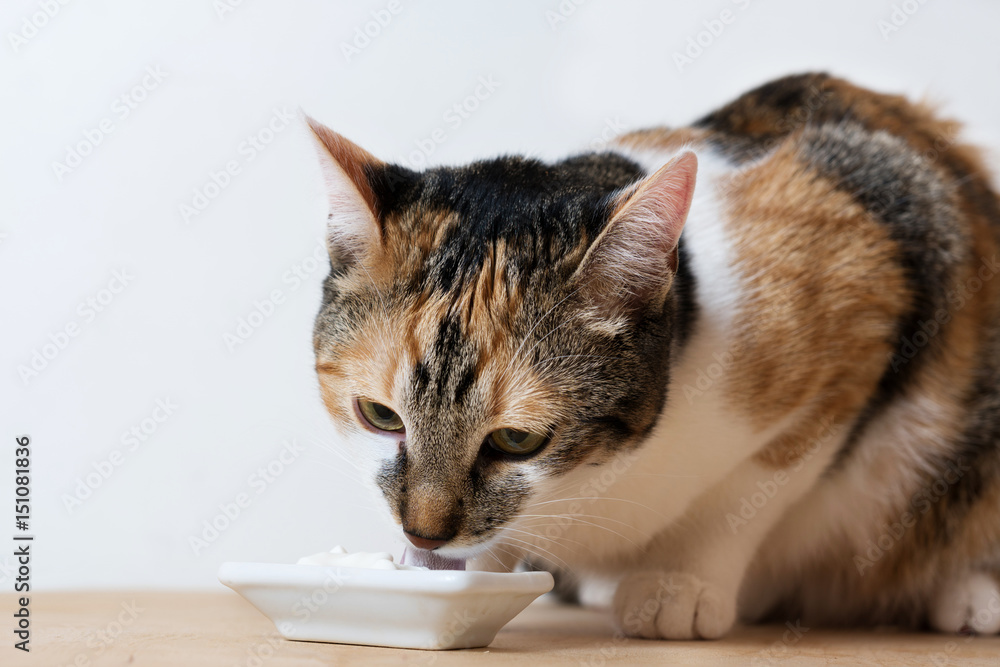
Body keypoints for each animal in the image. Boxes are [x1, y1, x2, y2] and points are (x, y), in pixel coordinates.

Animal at [304, 73, 1000, 640]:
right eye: (379, 416)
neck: (603, 477)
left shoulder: (864, 301)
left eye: (517, 442)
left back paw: (968, 598)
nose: (423, 534)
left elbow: (747, 494)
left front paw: (680, 585)